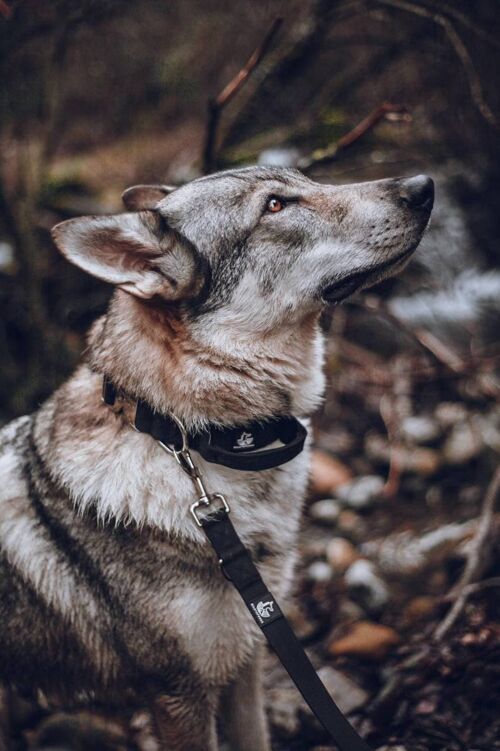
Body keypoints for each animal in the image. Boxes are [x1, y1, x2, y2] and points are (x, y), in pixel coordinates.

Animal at [0, 167, 434, 748]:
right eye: (275, 206)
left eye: (305, 179)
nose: (423, 185)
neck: (187, 438)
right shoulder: (179, 696)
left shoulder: (247, 655)